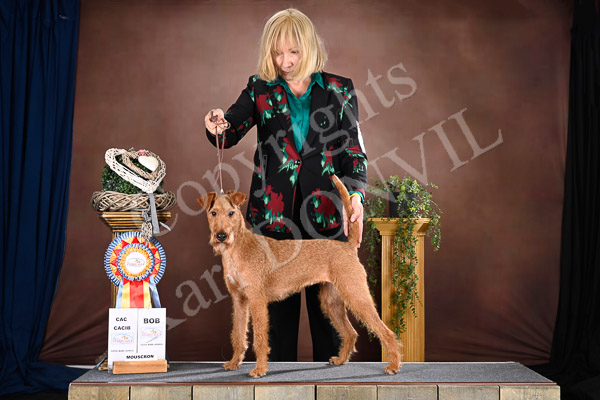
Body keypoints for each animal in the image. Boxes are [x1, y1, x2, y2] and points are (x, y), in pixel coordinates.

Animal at [197, 175, 402, 378]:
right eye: (213, 213)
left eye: (231, 213)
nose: (221, 236)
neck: (237, 249)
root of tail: (348, 246)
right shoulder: (239, 300)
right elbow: (238, 334)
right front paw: (233, 363)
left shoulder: (257, 300)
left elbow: (260, 338)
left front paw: (260, 369)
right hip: (331, 301)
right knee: (351, 333)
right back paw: (340, 360)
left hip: (356, 295)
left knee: (386, 332)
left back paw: (393, 365)